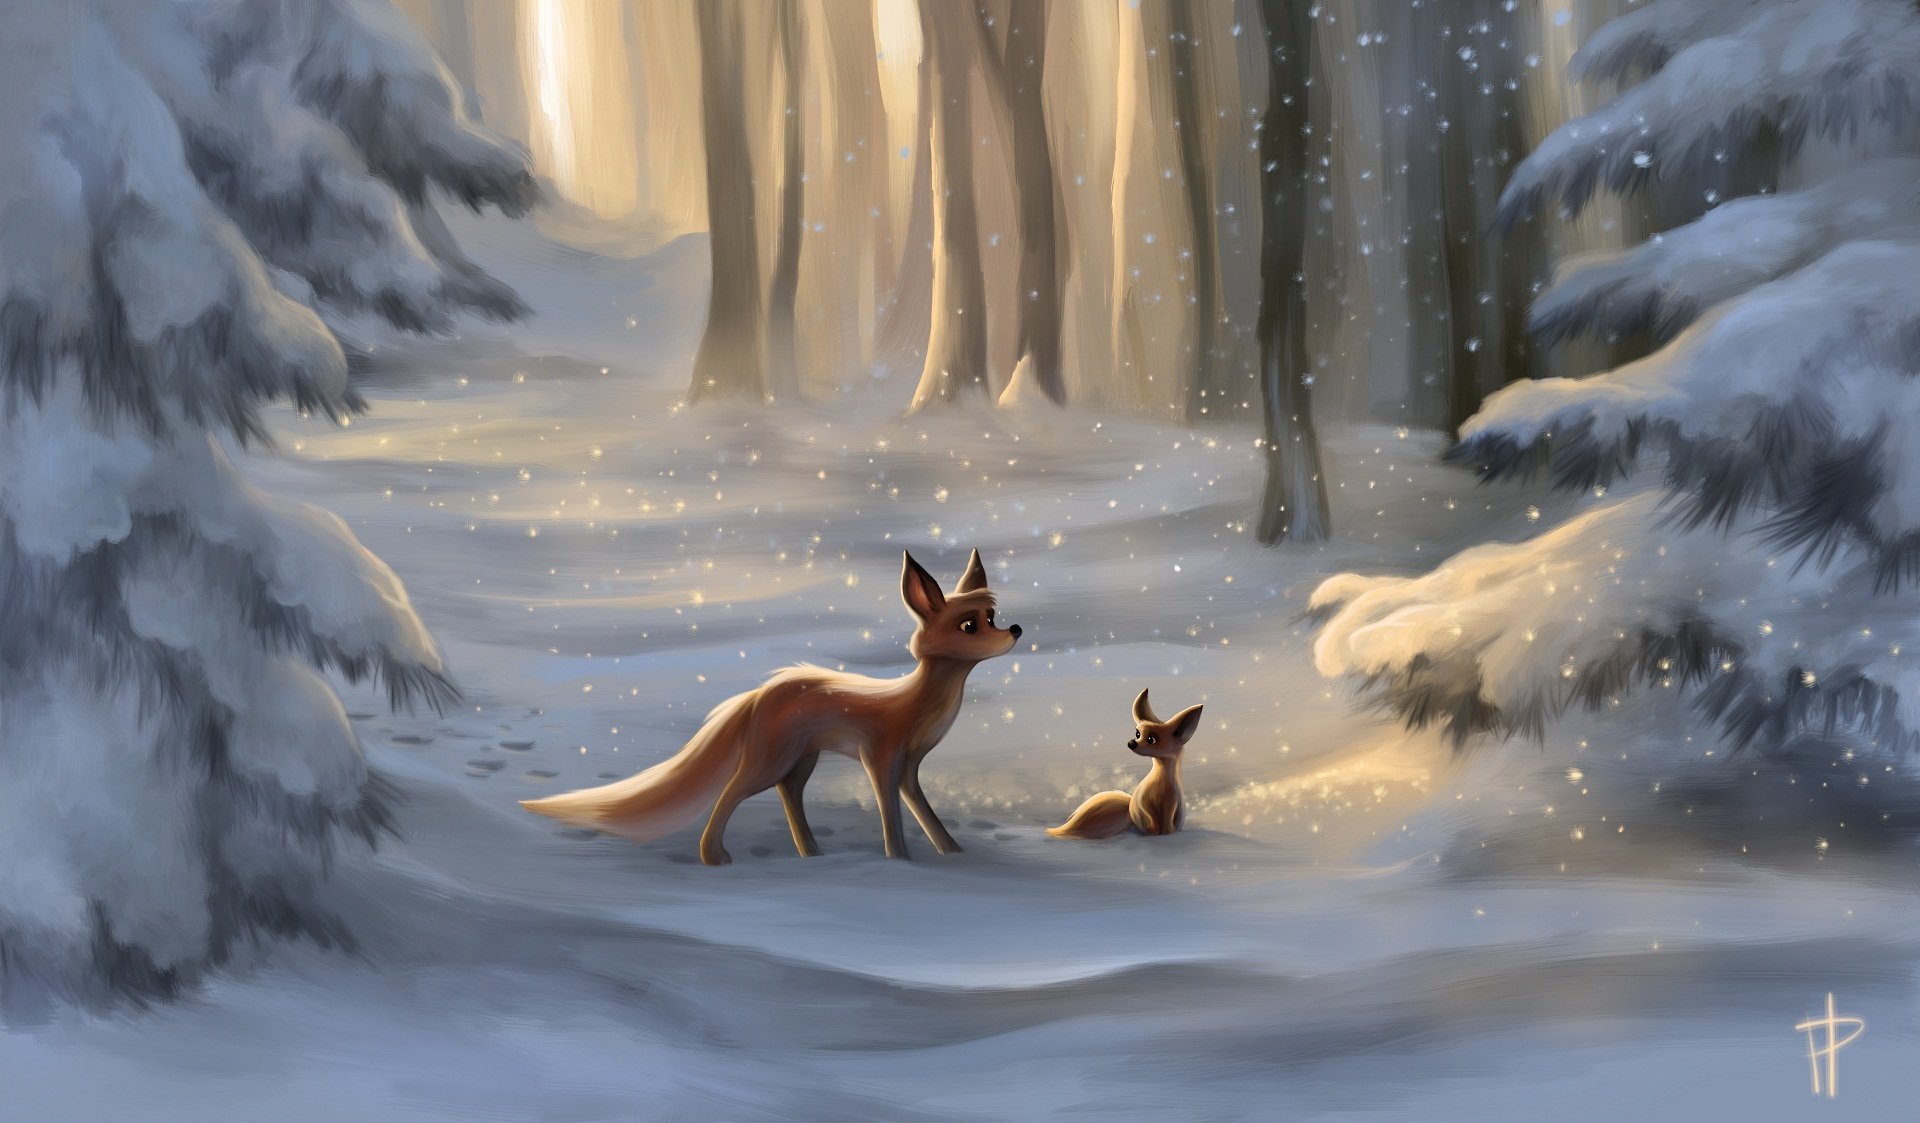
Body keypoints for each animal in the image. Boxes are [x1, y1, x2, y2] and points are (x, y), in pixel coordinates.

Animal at [520, 549, 1020, 865]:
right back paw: (715, 858)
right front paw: (900, 861)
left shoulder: (910, 768)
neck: (916, 703)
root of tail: (760, 692)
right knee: (732, 792)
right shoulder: (880, 759)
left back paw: (811, 855)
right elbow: (891, 816)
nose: (1015, 629)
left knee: (789, 795)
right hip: (772, 759)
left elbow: (925, 813)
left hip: (800, 760)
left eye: (992, 617)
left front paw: (951, 856)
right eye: (970, 625)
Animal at [1047, 689, 1202, 840]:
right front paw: (1155, 834)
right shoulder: (1144, 804)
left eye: (1151, 739)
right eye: (1137, 733)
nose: (1131, 743)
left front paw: (1166, 835)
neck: (1160, 784)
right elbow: (1152, 820)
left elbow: (1167, 823)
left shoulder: (1170, 806)